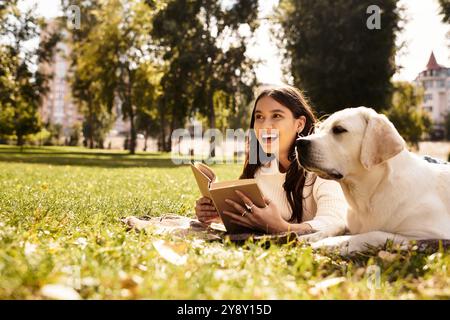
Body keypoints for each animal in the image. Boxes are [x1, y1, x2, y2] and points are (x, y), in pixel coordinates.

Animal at [296, 106, 450, 254]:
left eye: (339, 129)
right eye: (320, 128)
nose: (299, 142)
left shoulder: (430, 233)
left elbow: (374, 233)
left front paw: (333, 243)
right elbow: (337, 224)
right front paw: (312, 236)